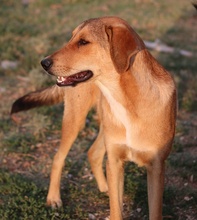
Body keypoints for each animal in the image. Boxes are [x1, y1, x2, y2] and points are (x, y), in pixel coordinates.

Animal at [11, 16, 176, 219]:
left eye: (83, 42)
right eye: (72, 38)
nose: (44, 63)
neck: (128, 100)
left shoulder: (156, 168)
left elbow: (154, 211)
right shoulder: (115, 162)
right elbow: (116, 210)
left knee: (93, 153)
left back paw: (104, 187)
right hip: (76, 120)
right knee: (59, 157)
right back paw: (54, 198)